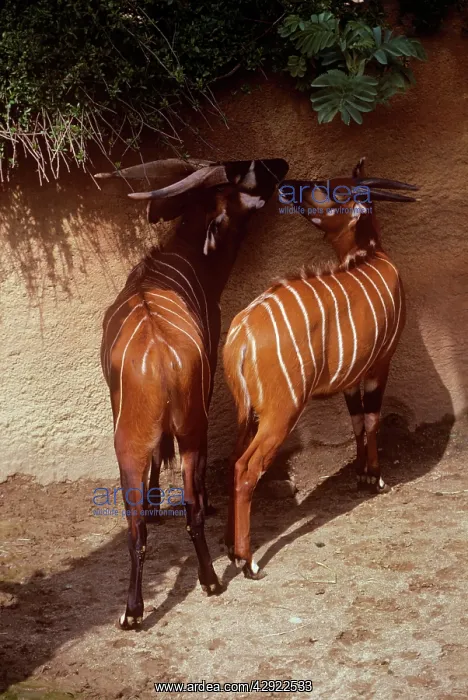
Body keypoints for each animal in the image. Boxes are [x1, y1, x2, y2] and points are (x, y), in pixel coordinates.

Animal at [96, 156, 289, 628]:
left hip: (137, 443)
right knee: (188, 509)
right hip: (188, 432)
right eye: (250, 174)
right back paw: (209, 581)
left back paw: (134, 610)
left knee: (139, 528)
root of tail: (162, 363)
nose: (281, 163)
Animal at [223, 158, 418, 579]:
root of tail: (242, 334)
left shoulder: (351, 378)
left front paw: (361, 474)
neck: (372, 257)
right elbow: (372, 418)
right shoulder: (380, 363)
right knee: (247, 468)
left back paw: (229, 547)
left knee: (232, 462)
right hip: (281, 412)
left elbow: (357, 420)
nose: (288, 183)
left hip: (245, 412)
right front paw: (375, 477)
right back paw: (248, 561)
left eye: (334, 188)